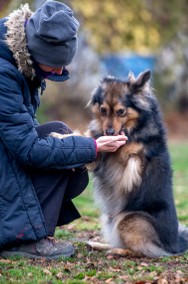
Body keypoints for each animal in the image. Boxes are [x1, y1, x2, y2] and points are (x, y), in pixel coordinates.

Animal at [85, 70, 188, 258]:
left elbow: (128, 151)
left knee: (140, 251)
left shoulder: (128, 161)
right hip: (111, 218)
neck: (136, 126)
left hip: (129, 218)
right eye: (103, 110)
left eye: (121, 112)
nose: (109, 132)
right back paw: (97, 244)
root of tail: (175, 245)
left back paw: (116, 250)